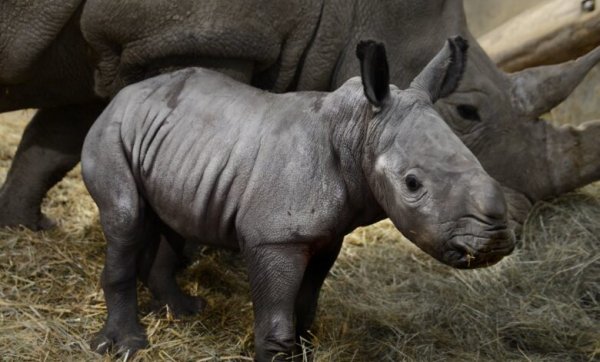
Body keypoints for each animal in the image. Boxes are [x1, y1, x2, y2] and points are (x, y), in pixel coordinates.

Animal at [1, 0, 600, 232]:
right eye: (466, 111)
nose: (513, 220)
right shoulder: (189, 36)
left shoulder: (113, 47)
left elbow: (54, 139)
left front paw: (23, 227)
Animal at [82, 37, 512, 362]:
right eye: (412, 184)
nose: (494, 242)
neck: (359, 128)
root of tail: (123, 95)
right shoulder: (274, 238)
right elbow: (276, 320)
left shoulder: (327, 235)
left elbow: (305, 308)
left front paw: (305, 351)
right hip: (111, 131)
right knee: (126, 217)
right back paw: (125, 346)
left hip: (174, 142)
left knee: (174, 222)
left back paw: (183, 311)